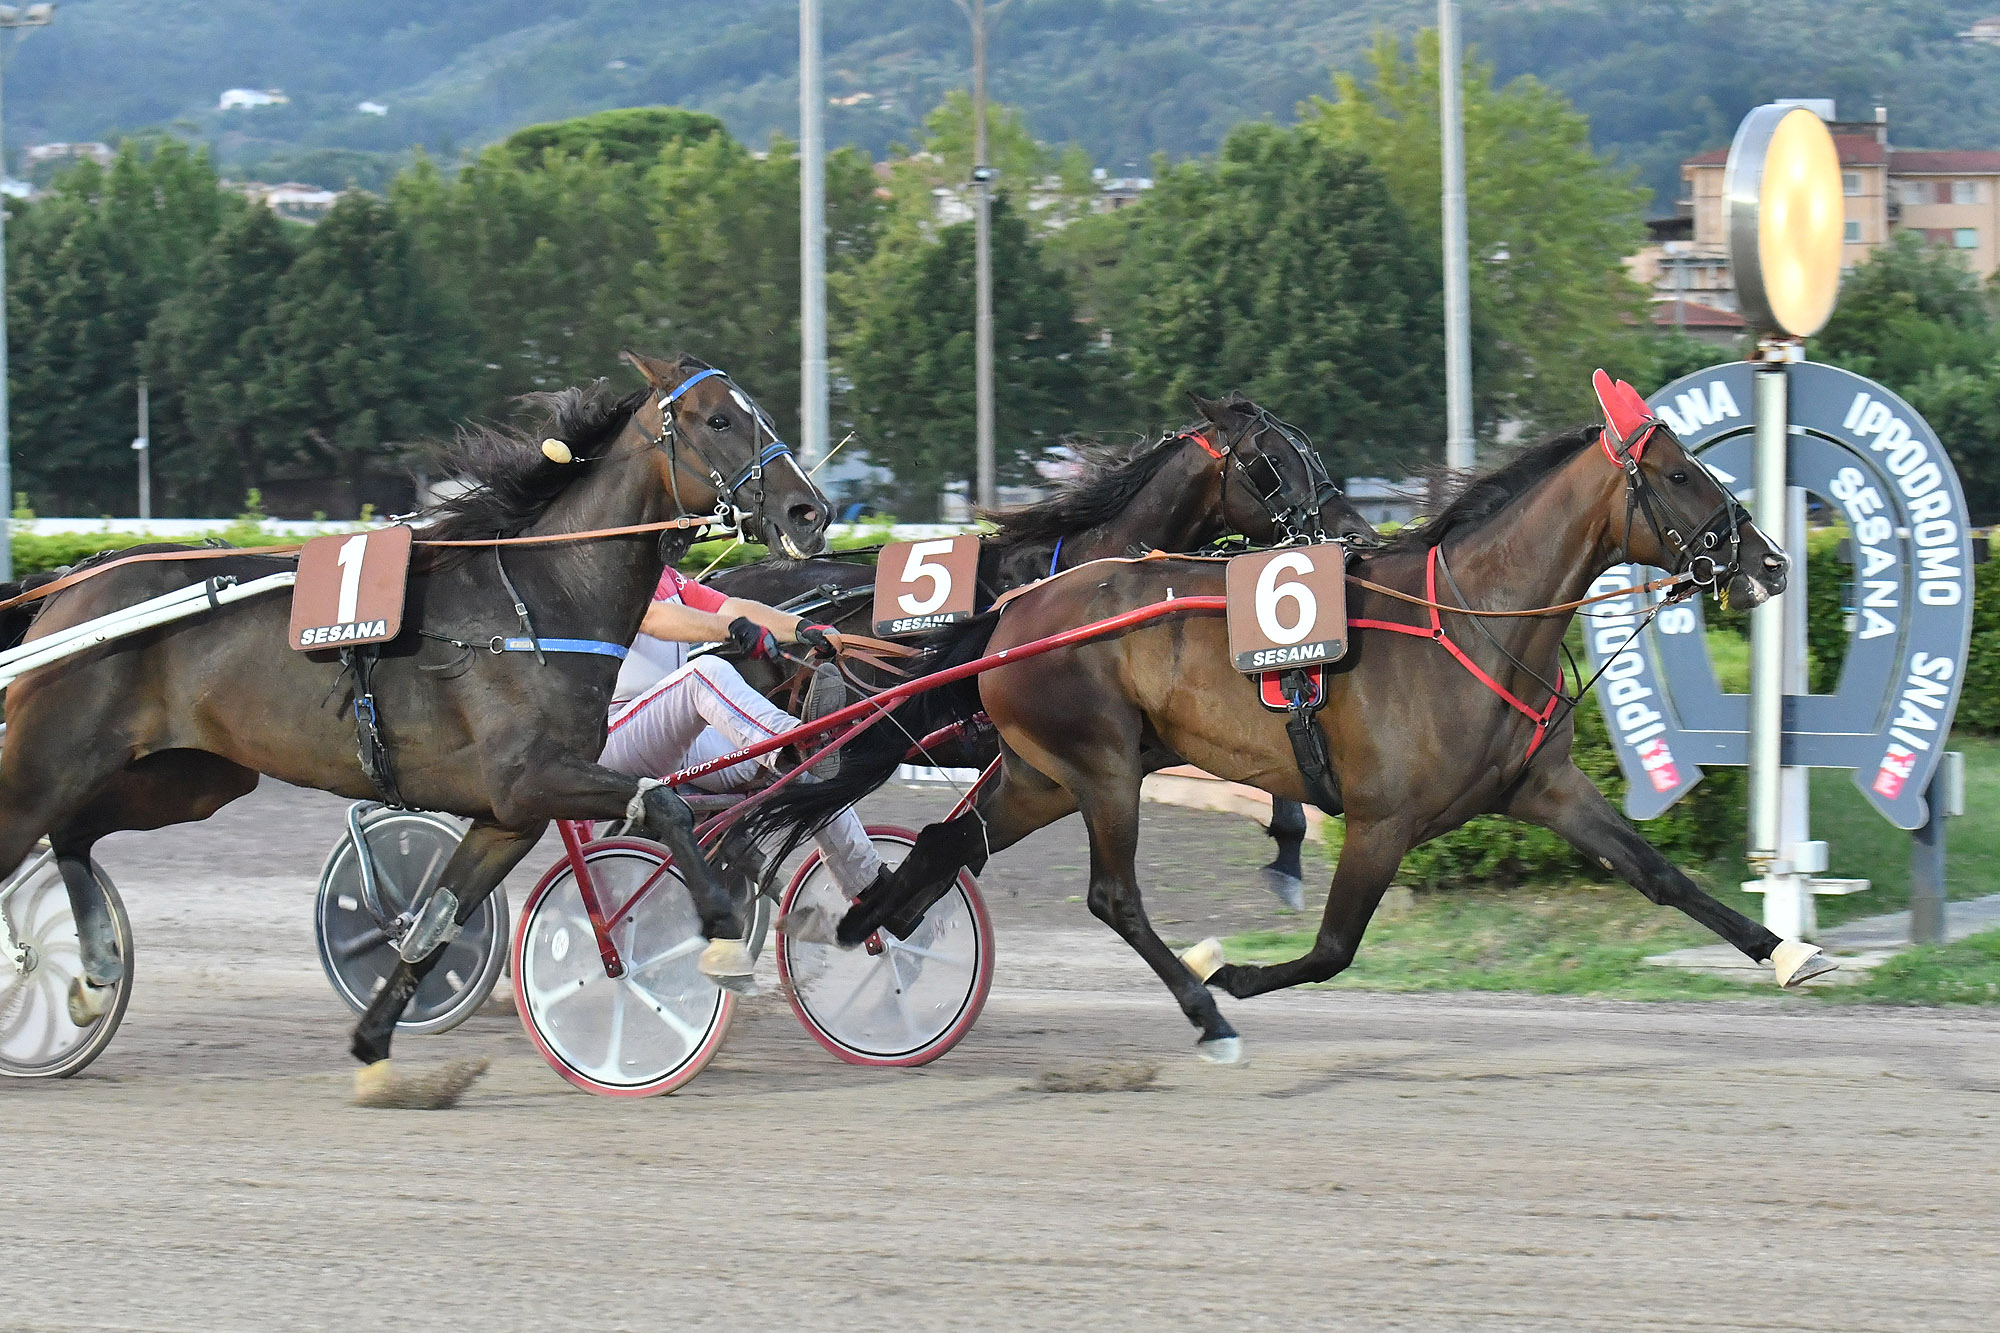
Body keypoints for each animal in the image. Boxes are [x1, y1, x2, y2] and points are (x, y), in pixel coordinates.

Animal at [0, 350, 828, 1088]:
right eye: (718, 418)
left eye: (760, 412)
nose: (809, 510)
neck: (538, 598)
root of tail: (72, 581)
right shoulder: (533, 777)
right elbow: (665, 804)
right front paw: (719, 937)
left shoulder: (509, 813)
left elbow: (436, 922)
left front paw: (373, 1050)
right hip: (49, 761)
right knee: (41, 827)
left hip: (191, 778)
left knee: (73, 832)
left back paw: (95, 973)